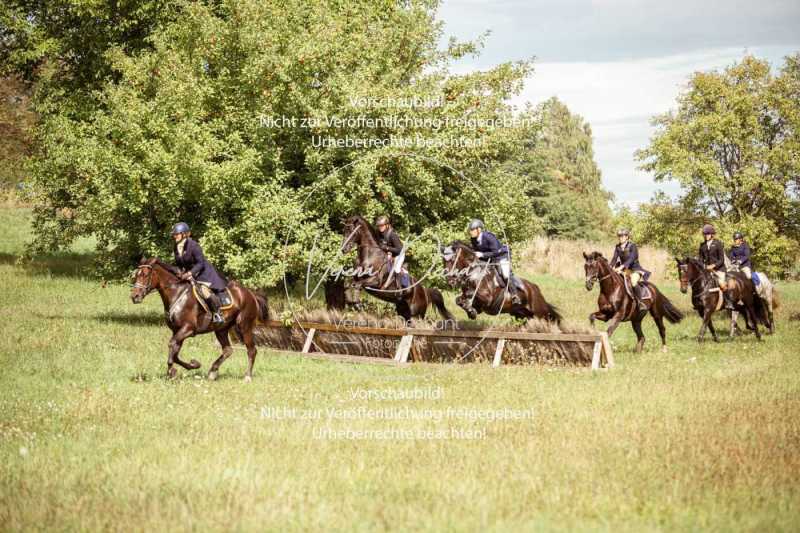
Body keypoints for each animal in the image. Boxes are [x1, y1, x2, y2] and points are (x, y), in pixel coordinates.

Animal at [130, 256, 270, 378]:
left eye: (145, 275)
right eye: (136, 275)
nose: (134, 297)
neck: (177, 293)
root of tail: (251, 294)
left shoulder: (188, 329)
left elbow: (172, 345)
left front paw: (172, 371)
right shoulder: (177, 331)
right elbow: (175, 353)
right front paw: (193, 365)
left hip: (244, 326)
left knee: (251, 350)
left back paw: (247, 376)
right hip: (221, 329)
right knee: (228, 350)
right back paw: (213, 371)